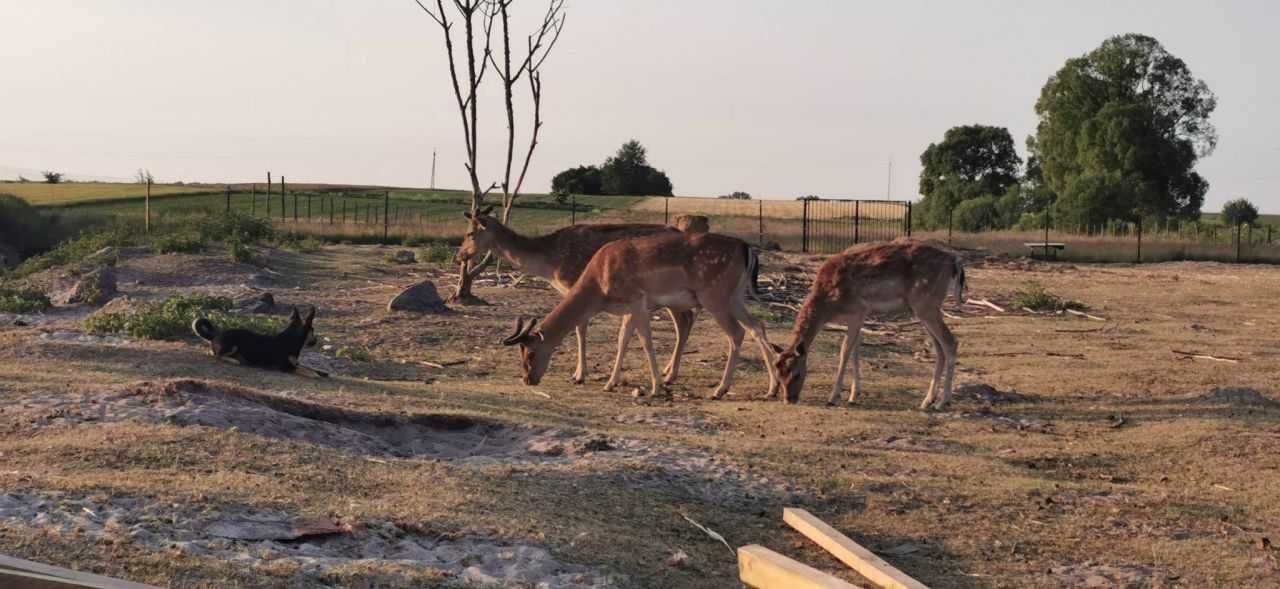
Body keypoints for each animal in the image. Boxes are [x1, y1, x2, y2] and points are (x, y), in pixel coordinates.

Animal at [193, 303, 327, 376]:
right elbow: (309, 372)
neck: (290, 339)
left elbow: (309, 367)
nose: (316, 341)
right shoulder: (285, 367)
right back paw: (234, 361)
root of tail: (215, 335)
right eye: (313, 332)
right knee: (216, 355)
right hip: (232, 345)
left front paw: (323, 372)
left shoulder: (295, 364)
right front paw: (316, 374)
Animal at [499, 229, 778, 396]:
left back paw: (720, 389)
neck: (599, 287)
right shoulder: (629, 308)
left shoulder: (637, 299)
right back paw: (772, 388)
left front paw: (655, 387)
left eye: (530, 353)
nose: (527, 380)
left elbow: (645, 342)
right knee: (757, 326)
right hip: (736, 295)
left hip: (714, 295)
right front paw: (611, 383)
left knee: (737, 332)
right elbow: (623, 339)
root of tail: (747, 249)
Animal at [768, 239, 962, 409]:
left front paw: (833, 397)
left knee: (950, 342)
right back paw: (928, 400)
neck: (829, 305)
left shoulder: (858, 312)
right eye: (778, 374)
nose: (789, 399)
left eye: (797, 374)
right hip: (923, 310)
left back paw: (943, 402)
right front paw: (854, 395)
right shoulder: (856, 319)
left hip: (926, 306)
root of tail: (955, 261)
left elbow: (845, 351)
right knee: (939, 348)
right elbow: (856, 350)